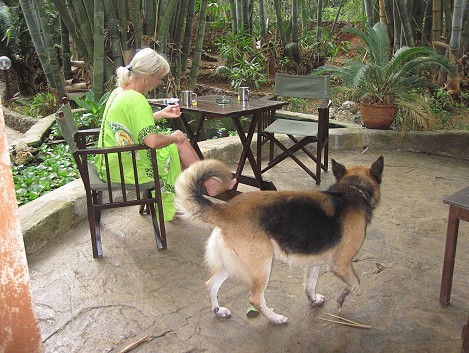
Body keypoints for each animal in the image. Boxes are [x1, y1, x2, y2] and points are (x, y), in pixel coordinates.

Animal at [176, 157, 384, 324]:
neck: (352, 191)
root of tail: (225, 210)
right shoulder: (340, 265)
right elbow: (354, 284)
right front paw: (342, 299)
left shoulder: (315, 263)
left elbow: (310, 285)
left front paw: (314, 300)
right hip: (262, 266)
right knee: (255, 299)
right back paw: (275, 319)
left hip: (231, 264)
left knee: (210, 285)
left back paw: (218, 311)